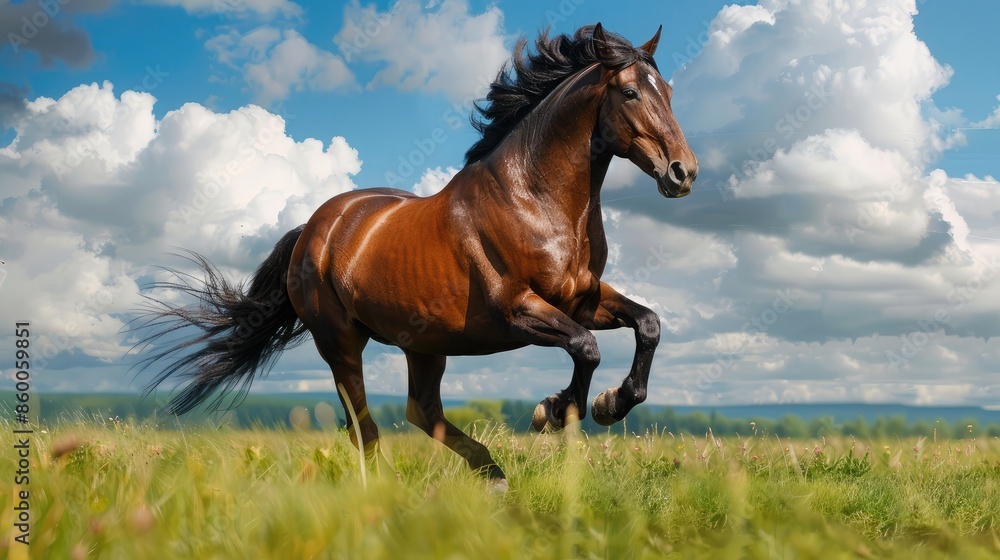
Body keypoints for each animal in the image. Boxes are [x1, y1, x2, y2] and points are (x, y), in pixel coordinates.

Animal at [136, 23, 697, 484]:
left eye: (669, 92)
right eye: (629, 92)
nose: (683, 172)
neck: (535, 200)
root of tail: (314, 228)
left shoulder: (584, 299)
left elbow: (647, 324)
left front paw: (609, 404)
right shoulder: (517, 309)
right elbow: (587, 348)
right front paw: (555, 410)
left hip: (424, 343)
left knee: (421, 412)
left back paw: (492, 477)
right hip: (339, 341)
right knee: (365, 428)